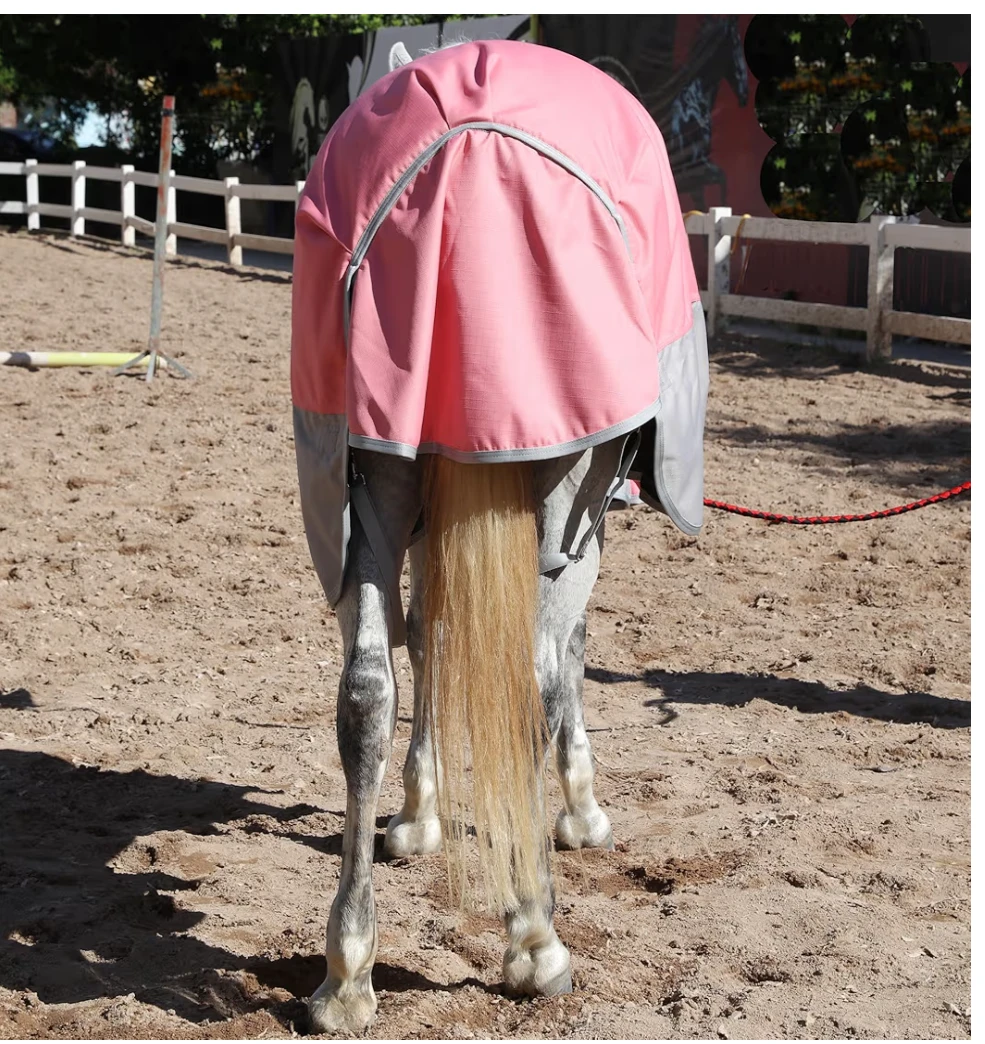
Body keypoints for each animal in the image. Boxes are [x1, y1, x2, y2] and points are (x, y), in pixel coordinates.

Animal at [291, 38, 709, 1034]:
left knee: (365, 691)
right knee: (532, 675)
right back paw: (535, 938)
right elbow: (565, 664)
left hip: (367, 482)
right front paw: (580, 812)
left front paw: (415, 816)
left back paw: (347, 971)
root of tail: (466, 157)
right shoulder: (581, 525)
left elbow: (426, 644)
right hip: (565, 493)